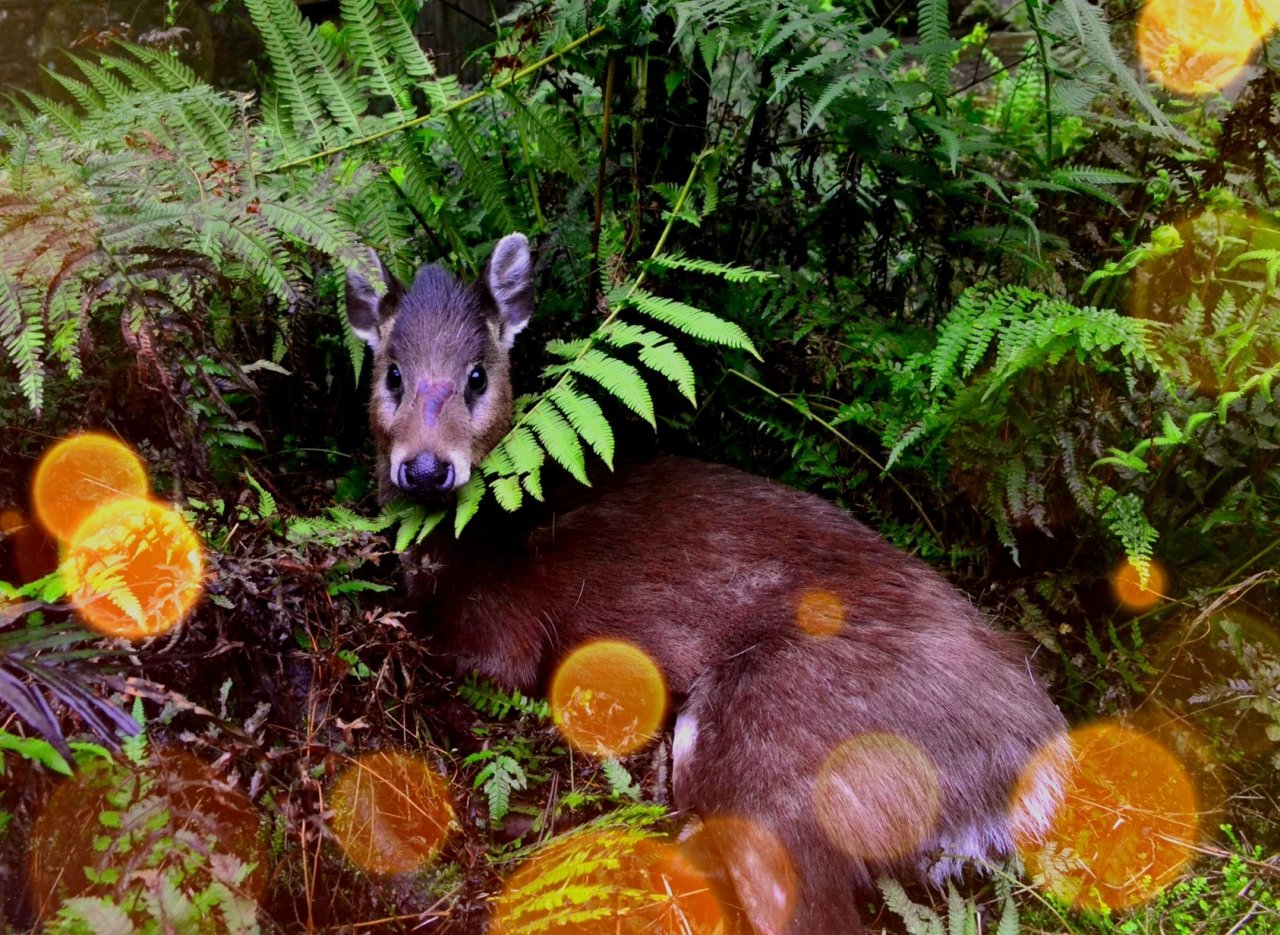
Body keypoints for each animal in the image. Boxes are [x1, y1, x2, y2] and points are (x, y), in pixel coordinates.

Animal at [348, 233, 1070, 932]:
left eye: (477, 375)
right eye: (391, 372)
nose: (426, 466)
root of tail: (1042, 759)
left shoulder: (504, 640)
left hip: (778, 737)